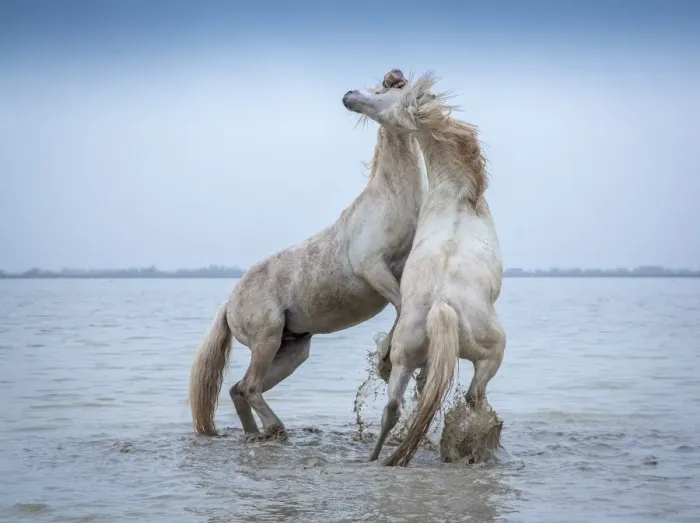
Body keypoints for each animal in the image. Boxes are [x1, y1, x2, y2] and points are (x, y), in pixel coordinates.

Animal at [188, 70, 425, 441]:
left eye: (382, 90)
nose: (348, 96)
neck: (390, 201)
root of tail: (229, 304)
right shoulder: (374, 270)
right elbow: (401, 307)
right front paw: (386, 359)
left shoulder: (400, 272)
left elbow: (405, 308)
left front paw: (389, 361)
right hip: (267, 338)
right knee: (249, 387)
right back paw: (276, 429)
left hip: (292, 350)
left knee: (238, 390)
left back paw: (258, 435)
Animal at [342, 71, 506, 466]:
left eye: (382, 91)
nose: (348, 96)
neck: (458, 195)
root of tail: (443, 305)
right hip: (492, 356)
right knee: (474, 400)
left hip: (409, 359)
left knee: (394, 408)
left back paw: (377, 458)